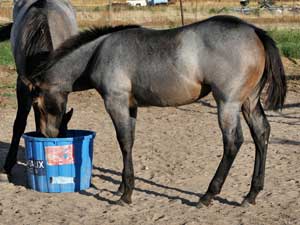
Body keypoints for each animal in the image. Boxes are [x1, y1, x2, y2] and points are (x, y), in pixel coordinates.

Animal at [24, 15, 286, 207]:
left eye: (36, 103)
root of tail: (254, 31)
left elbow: (124, 141)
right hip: (249, 102)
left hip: (227, 104)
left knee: (233, 142)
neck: (98, 52)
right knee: (261, 133)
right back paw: (251, 195)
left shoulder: (115, 102)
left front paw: (126, 195)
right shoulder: (130, 106)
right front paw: (121, 187)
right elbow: (130, 141)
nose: (48, 135)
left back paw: (207, 196)